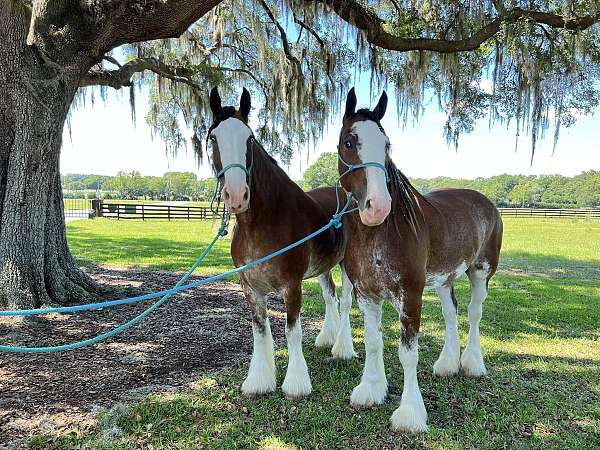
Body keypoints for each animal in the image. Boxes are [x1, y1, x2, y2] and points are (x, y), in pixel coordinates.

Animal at [206, 87, 356, 398]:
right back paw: (327, 338)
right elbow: (260, 329)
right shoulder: (250, 287)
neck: (264, 222)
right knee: (330, 296)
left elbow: (292, 330)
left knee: (346, 301)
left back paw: (342, 348)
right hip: (322, 268)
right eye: (213, 137)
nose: (237, 195)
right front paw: (259, 380)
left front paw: (296, 383)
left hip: (347, 266)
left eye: (249, 138)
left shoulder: (292, 284)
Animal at [338, 89, 502, 432]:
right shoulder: (367, 296)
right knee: (452, 313)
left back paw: (472, 363)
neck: (379, 234)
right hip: (444, 279)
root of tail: (485, 201)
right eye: (349, 142)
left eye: (386, 144)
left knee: (474, 313)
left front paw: (410, 412)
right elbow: (373, 342)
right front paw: (370, 389)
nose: (378, 207)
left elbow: (408, 354)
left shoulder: (410, 296)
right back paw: (448, 364)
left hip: (481, 272)